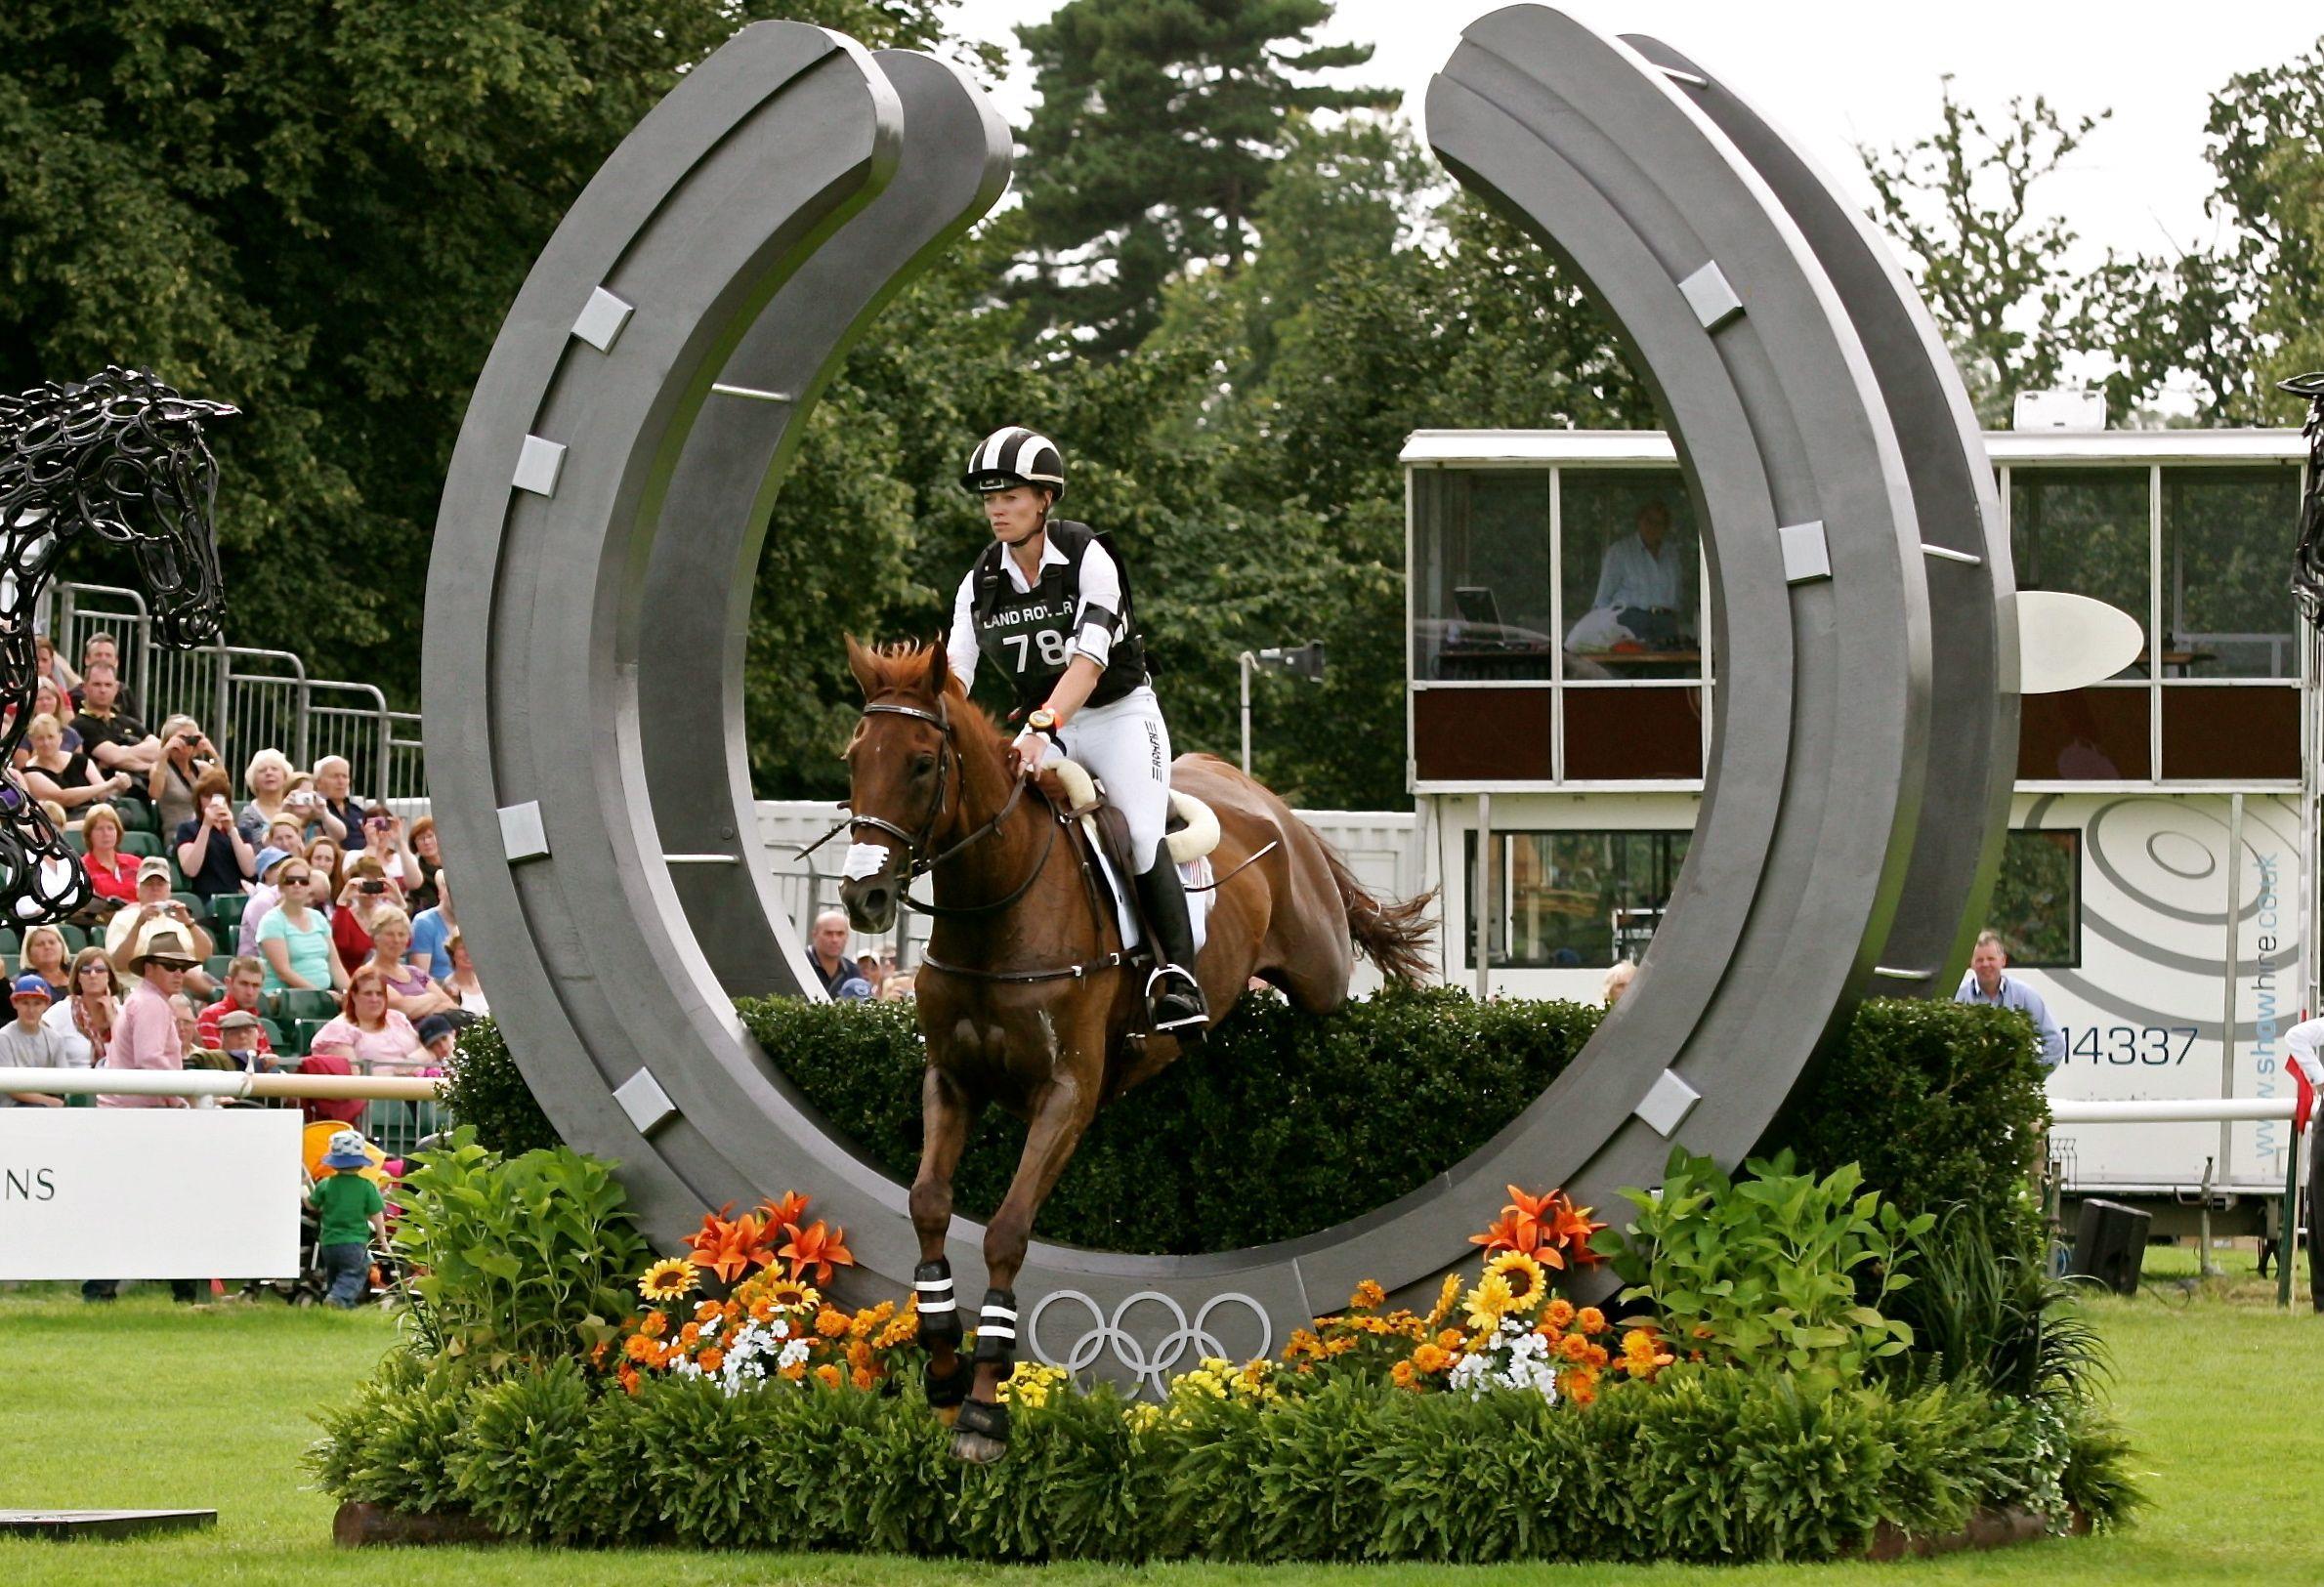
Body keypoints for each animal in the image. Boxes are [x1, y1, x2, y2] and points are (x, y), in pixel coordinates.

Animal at [836, 641, 1431, 1459]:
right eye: (854, 756)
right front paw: (945, 1370)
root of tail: (1273, 805)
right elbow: (927, 1203)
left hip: (1322, 972)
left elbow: (1007, 1230)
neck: (996, 907)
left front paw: (985, 1408)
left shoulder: (1067, 1094)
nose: (861, 895)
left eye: (923, 762)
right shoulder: (951, 1079)